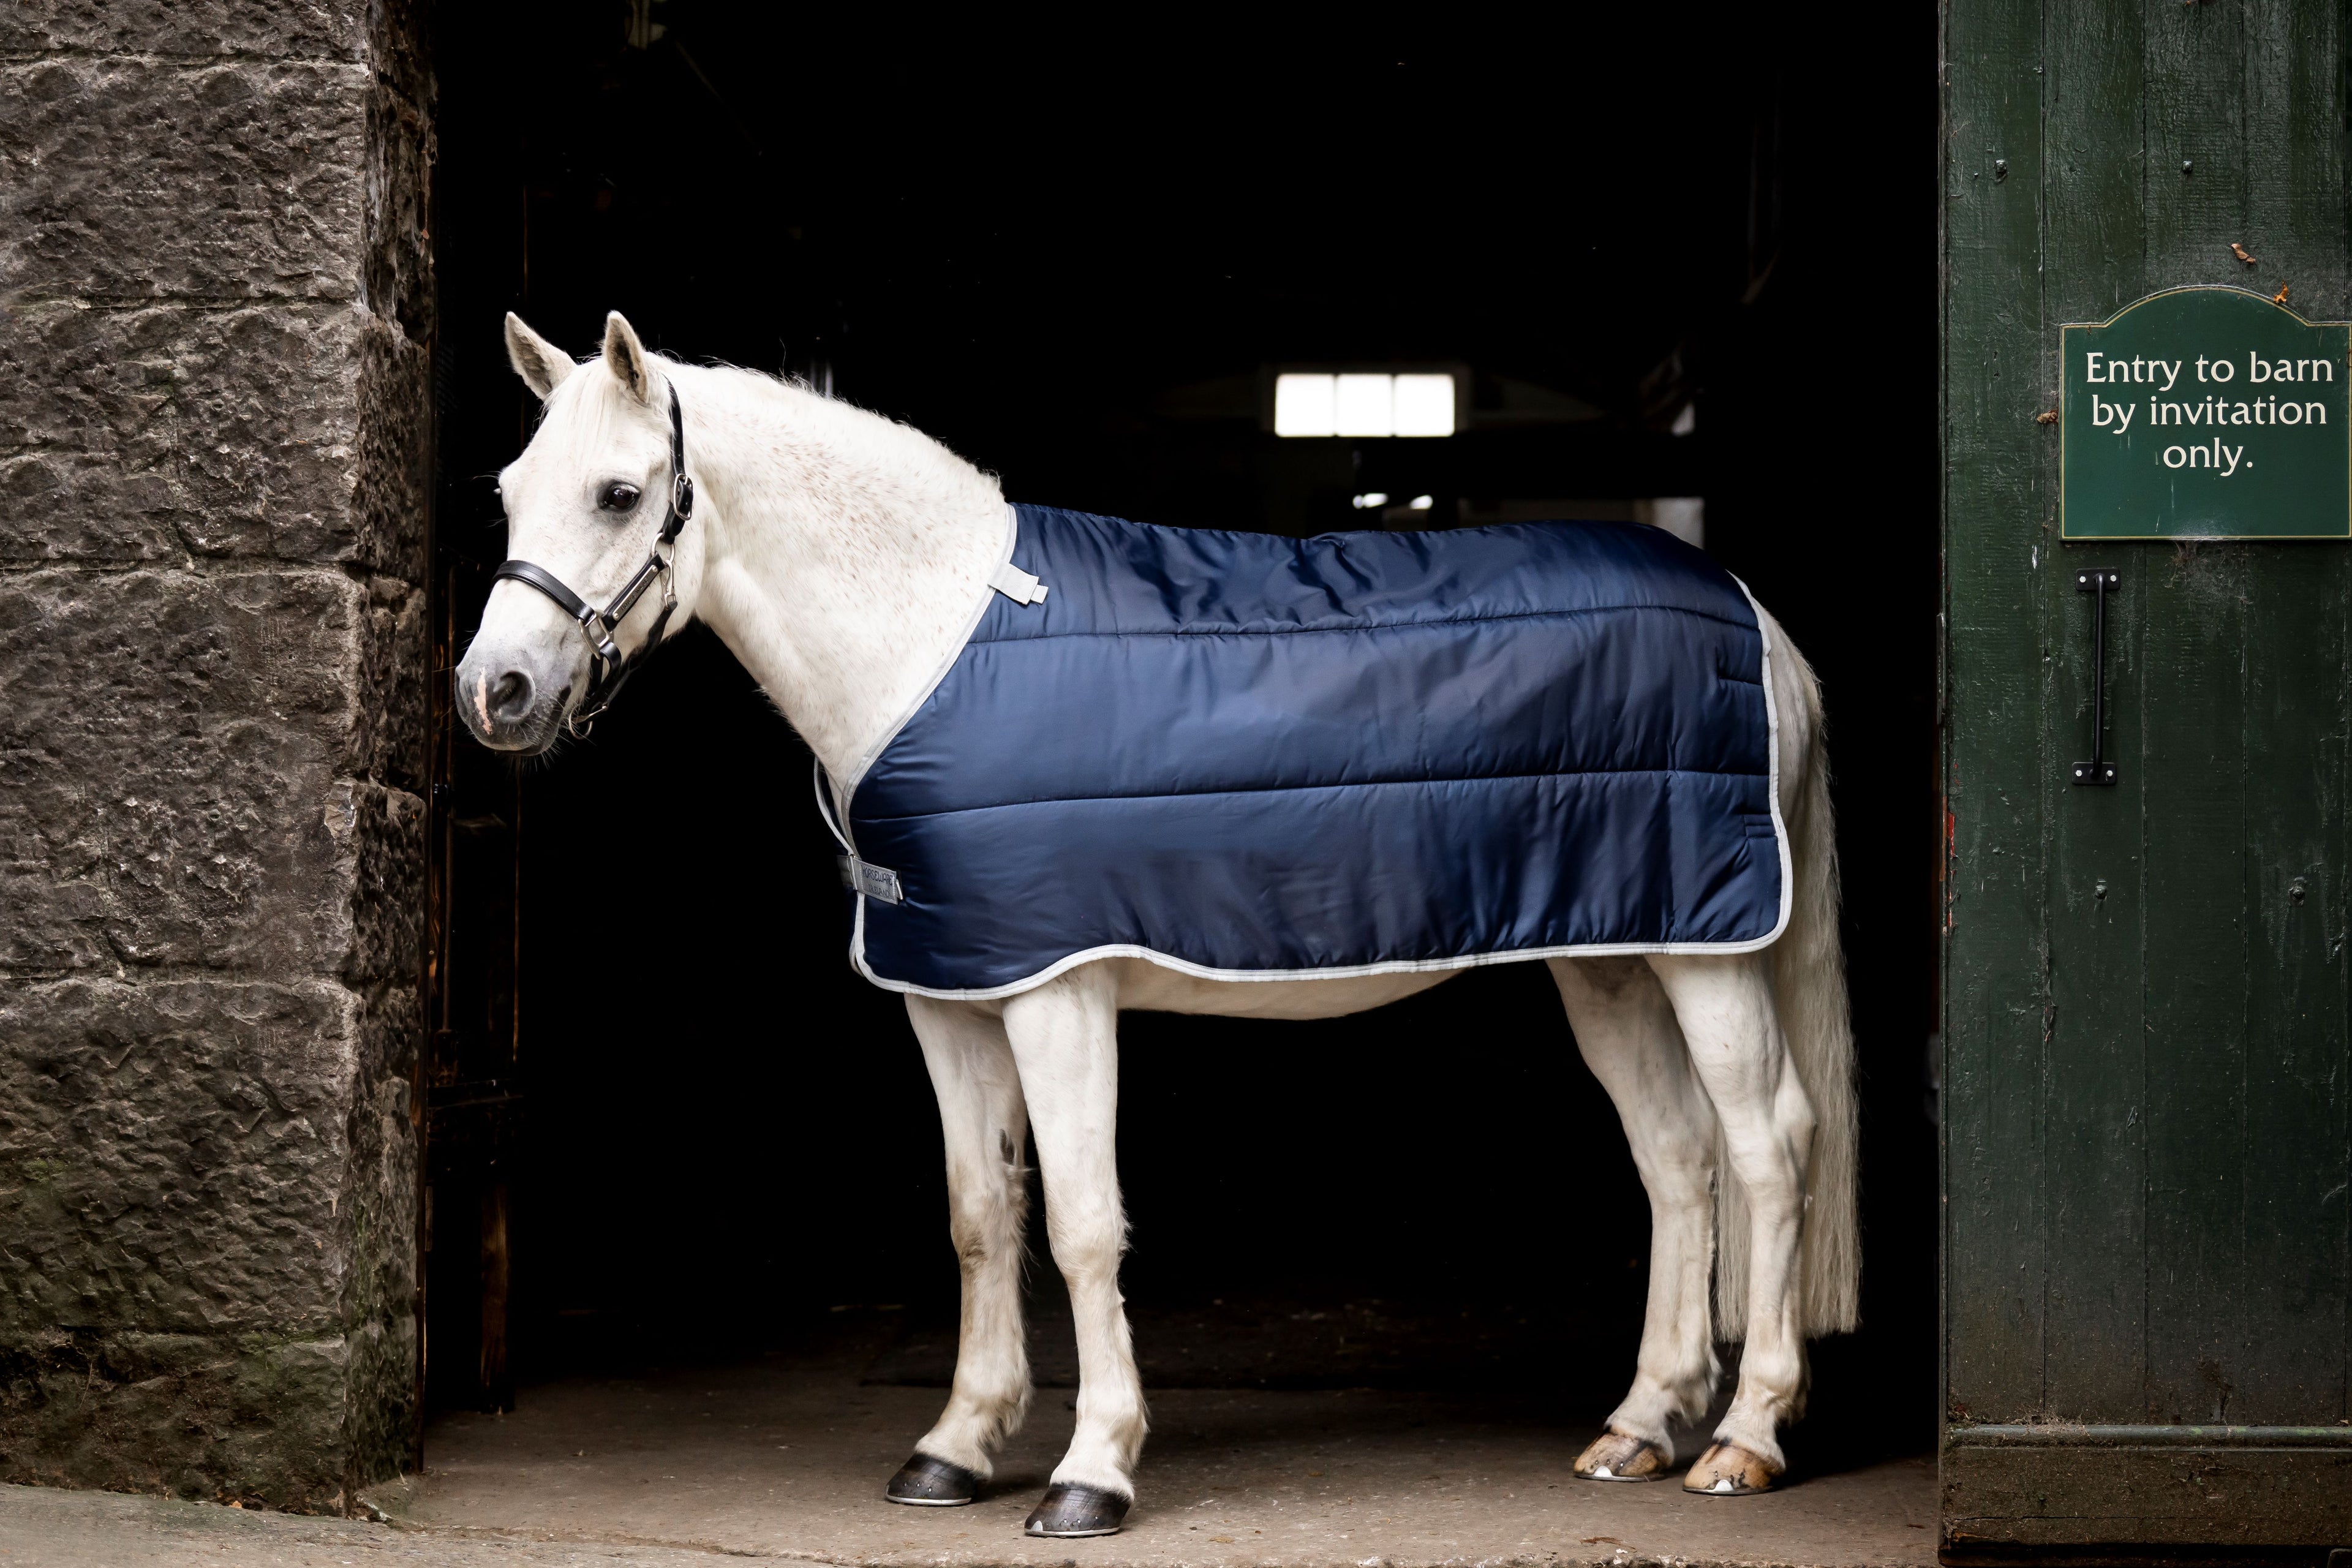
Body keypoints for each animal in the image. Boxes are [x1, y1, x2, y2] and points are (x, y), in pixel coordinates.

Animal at [456, 311, 1859, 1539]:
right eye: (513, 489)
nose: (494, 692)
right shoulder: (949, 990)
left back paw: (1746, 1436)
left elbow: (1083, 1224)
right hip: (1610, 955)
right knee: (1675, 1156)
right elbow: (980, 1214)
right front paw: (955, 1447)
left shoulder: (1056, 990)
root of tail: (1755, 617)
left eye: (621, 493)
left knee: (1767, 1146)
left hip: (1707, 956)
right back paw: (1641, 1424)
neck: (937, 635)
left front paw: (1091, 1472)